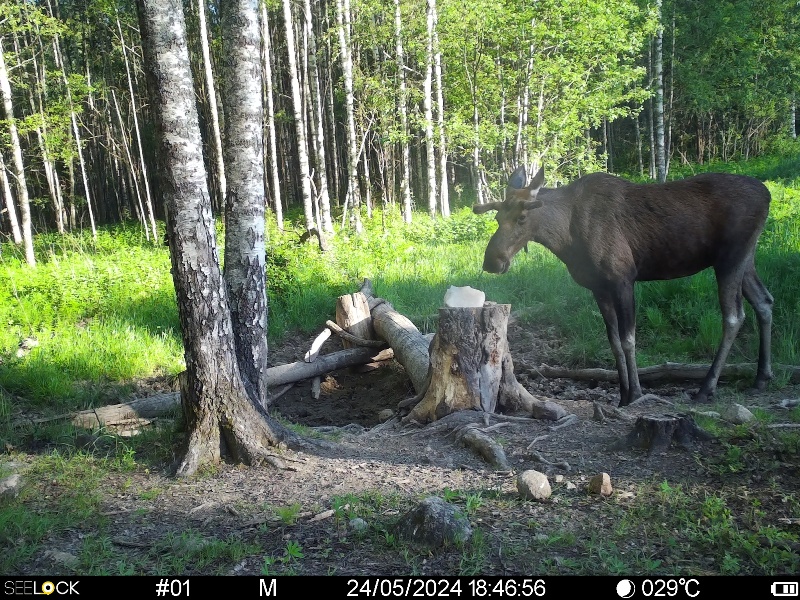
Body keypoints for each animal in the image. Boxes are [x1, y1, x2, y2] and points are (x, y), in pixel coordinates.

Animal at [473, 165, 774, 407]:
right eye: (498, 218)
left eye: (522, 218)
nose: (492, 261)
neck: (566, 239)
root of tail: (767, 194)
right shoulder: (599, 288)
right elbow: (614, 341)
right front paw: (622, 394)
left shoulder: (623, 278)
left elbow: (629, 339)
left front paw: (637, 394)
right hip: (746, 258)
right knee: (765, 301)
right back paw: (761, 377)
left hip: (730, 257)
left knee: (734, 316)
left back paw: (707, 388)